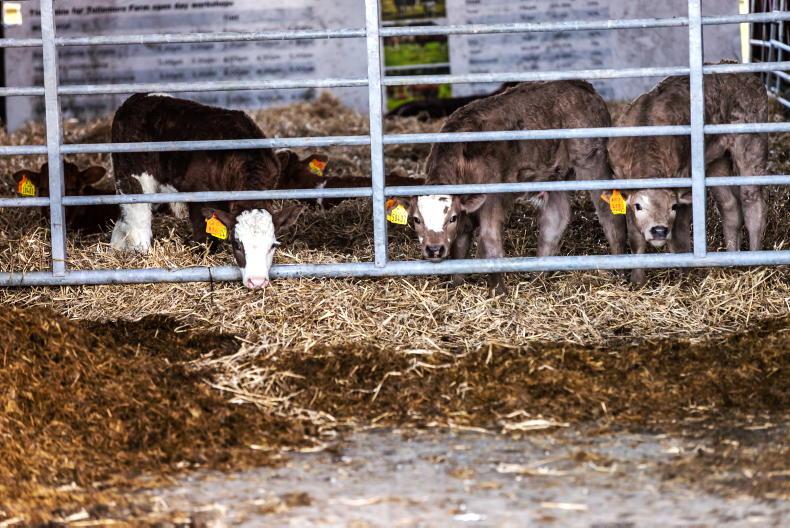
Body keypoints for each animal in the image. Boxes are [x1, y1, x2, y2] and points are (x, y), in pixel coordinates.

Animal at [109, 93, 320, 289]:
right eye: (237, 244)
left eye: (273, 245)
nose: (257, 281)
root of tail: (133, 100)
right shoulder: (199, 196)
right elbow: (203, 238)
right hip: (134, 180)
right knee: (139, 221)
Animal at [393, 81, 627, 294]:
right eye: (416, 219)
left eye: (451, 218)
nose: (434, 249)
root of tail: (581, 84)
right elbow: (460, 246)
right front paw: (457, 284)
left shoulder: (491, 200)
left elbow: (490, 239)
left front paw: (498, 291)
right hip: (555, 175)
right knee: (556, 218)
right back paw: (538, 278)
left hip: (592, 160)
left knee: (608, 212)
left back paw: (620, 268)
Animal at [606, 71, 769, 285]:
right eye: (638, 206)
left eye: (673, 206)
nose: (659, 230)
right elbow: (636, 240)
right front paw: (637, 281)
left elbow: (679, 238)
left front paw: (685, 278)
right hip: (717, 160)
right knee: (730, 207)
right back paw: (731, 261)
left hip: (751, 146)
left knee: (753, 205)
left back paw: (754, 264)